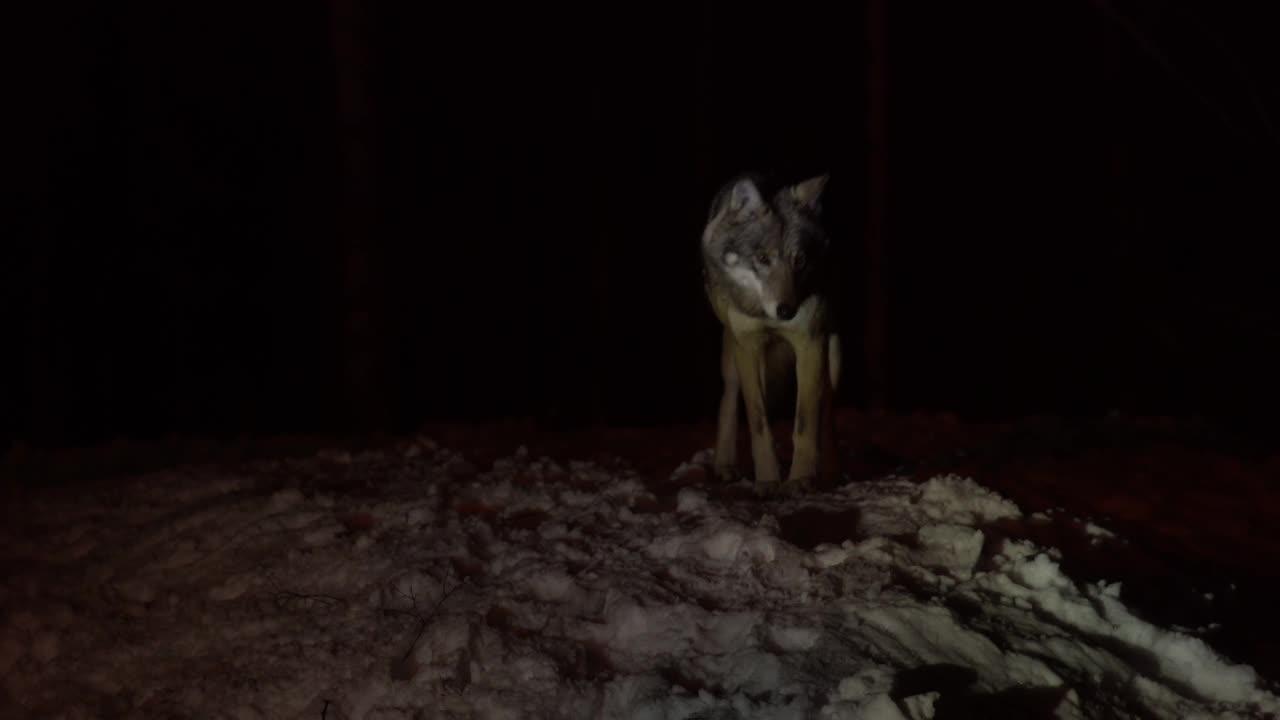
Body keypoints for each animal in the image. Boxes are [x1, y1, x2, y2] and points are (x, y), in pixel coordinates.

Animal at [701, 170, 839, 491]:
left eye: (799, 260)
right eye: (763, 259)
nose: (787, 311)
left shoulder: (810, 343)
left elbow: (806, 422)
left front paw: (801, 478)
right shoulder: (748, 345)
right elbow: (758, 421)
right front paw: (767, 480)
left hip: (834, 354)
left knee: (828, 405)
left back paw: (828, 469)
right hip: (733, 353)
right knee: (730, 397)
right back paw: (724, 464)